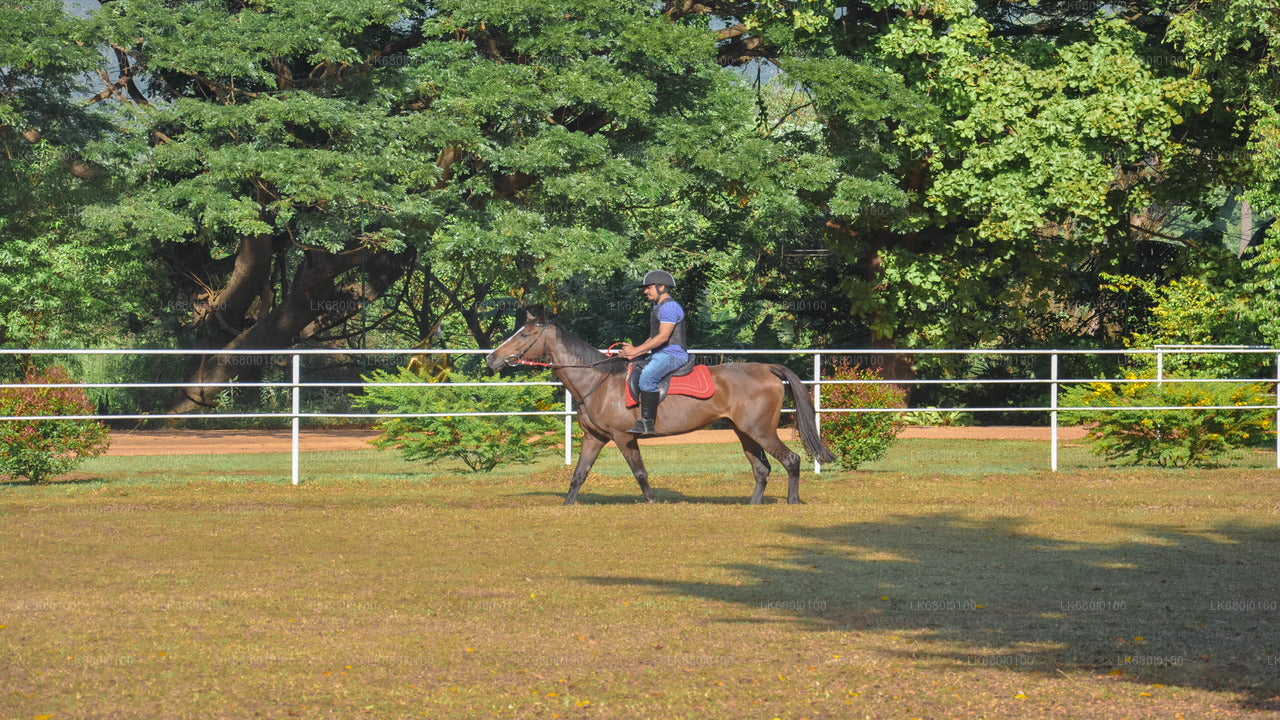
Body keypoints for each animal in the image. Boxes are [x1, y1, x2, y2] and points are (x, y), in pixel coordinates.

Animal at [485, 312, 836, 505]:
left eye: (525, 334)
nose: (491, 358)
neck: (599, 380)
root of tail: (766, 368)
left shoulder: (623, 437)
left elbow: (640, 473)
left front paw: (653, 502)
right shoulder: (594, 438)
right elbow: (579, 475)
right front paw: (568, 506)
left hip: (761, 431)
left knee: (791, 460)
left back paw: (791, 502)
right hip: (744, 433)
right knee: (762, 469)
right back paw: (752, 504)